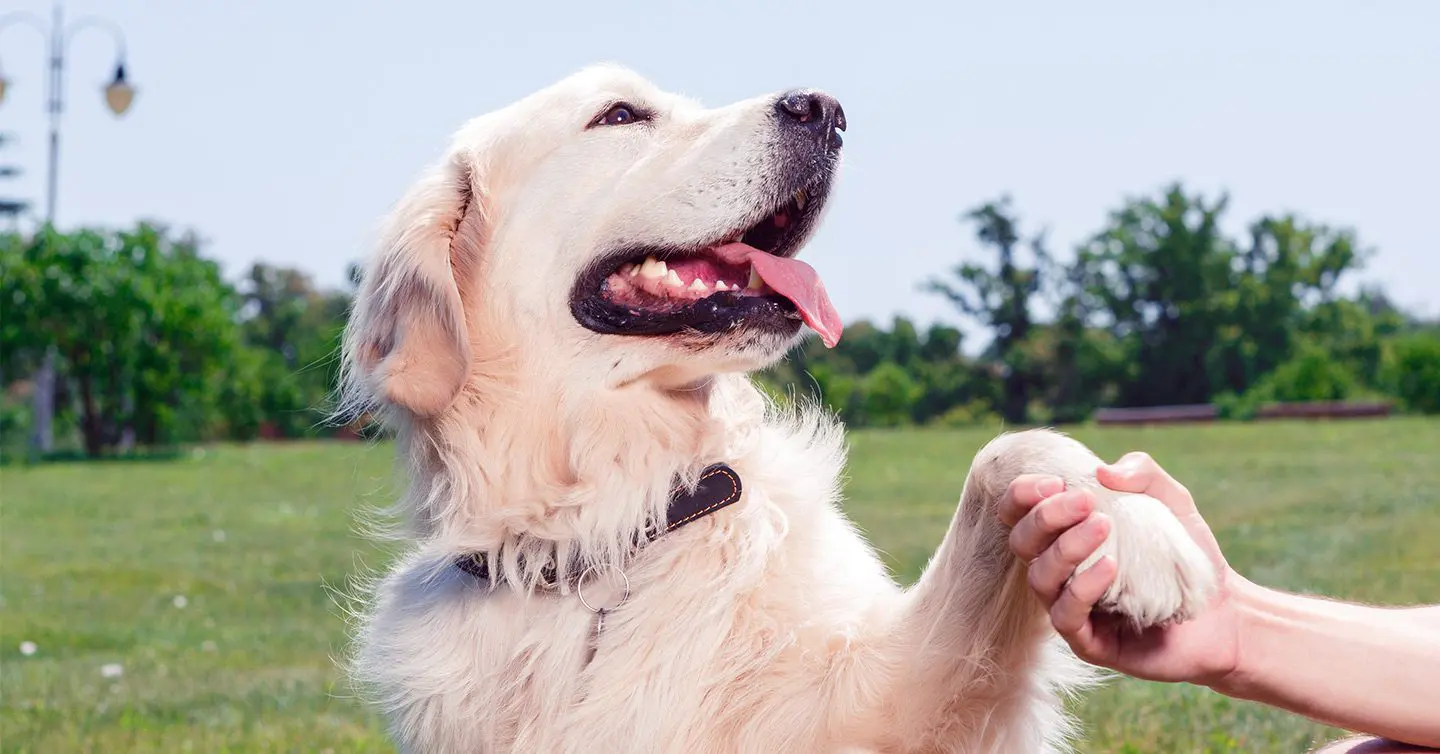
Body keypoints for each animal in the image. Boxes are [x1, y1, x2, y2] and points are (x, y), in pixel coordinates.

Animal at [339, 66, 1215, 754]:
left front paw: (1134, 528)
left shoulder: (884, 701)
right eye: (619, 114)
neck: (618, 527)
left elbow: (1007, 450)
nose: (825, 108)